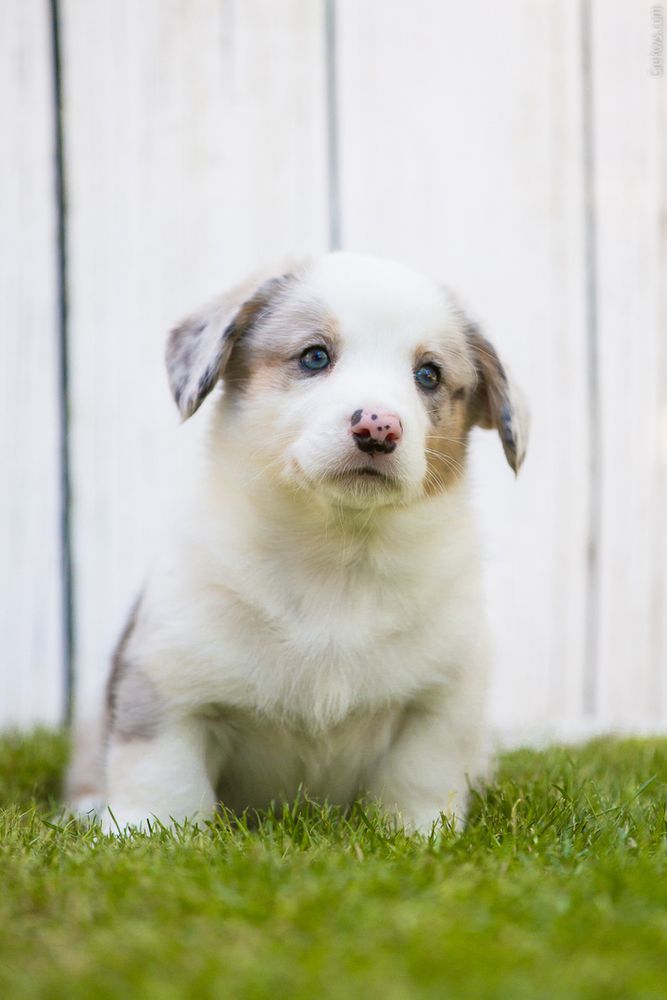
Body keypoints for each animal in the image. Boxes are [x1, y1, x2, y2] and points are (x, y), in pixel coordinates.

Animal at [68, 254, 528, 832]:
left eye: (428, 374)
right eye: (314, 357)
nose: (379, 427)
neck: (338, 554)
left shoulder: (440, 704)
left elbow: (415, 785)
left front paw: (418, 837)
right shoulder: (169, 691)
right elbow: (166, 789)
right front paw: (144, 836)